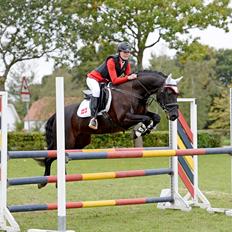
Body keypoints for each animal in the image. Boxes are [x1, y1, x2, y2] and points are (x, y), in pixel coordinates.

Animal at [38, 70, 183, 188]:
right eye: (168, 93)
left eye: (177, 94)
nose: (174, 116)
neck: (133, 92)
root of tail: (56, 114)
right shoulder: (124, 119)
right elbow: (146, 119)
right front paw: (138, 132)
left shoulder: (141, 113)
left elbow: (155, 117)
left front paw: (145, 130)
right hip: (67, 141)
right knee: (50, 158)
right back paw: (43, 182)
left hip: (80, 142)